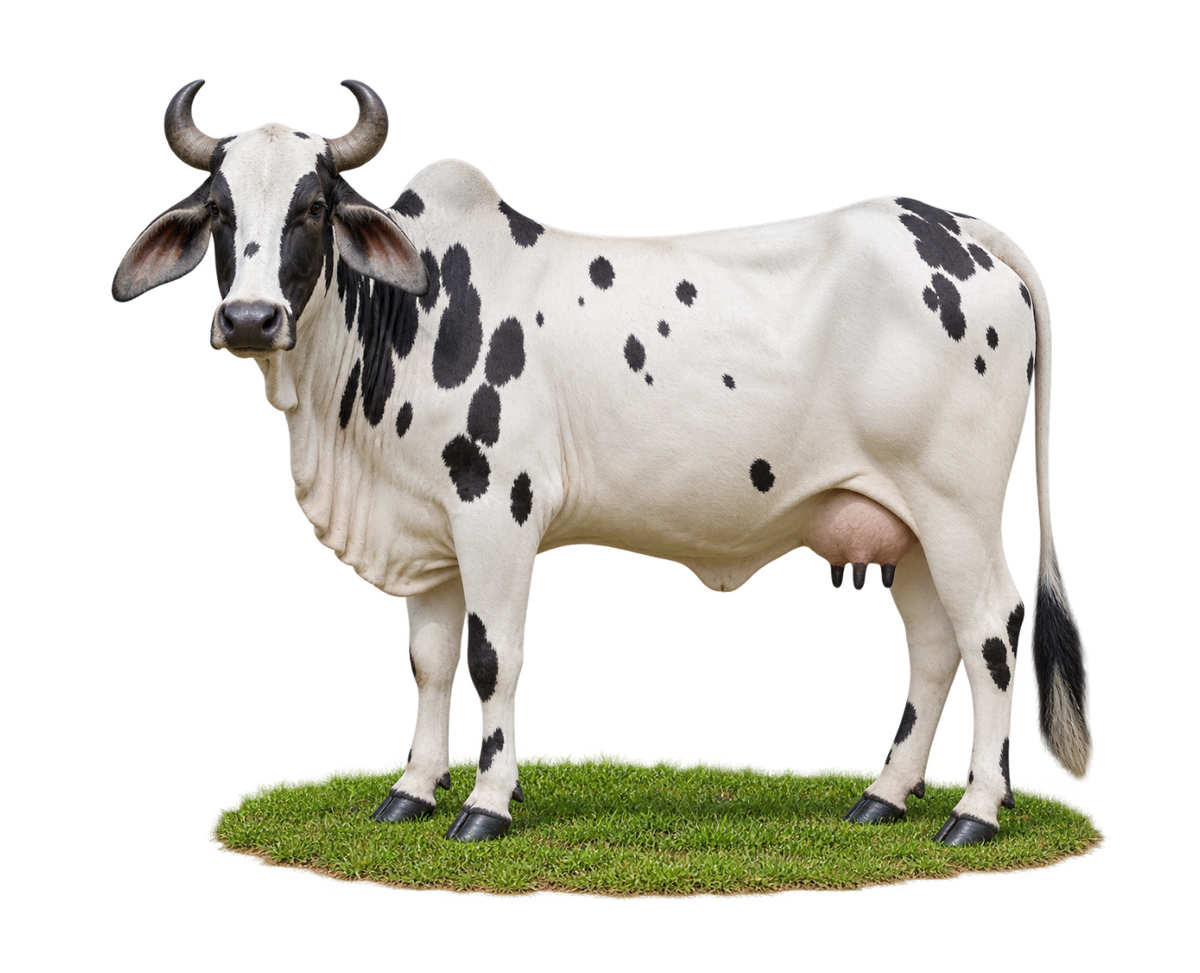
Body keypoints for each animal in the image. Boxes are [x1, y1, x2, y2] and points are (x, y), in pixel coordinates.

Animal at [111, 77, 1094, 847]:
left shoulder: (496, 508)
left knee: (990, 633)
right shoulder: (426, 528)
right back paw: (883, 794)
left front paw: (487, 803)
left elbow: (491, 656)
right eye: (219, 211)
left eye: (313, 206)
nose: (249, 318)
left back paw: (975, 810)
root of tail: (953, 223)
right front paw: (412, 789)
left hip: (959, 506)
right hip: (908, 521)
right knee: (931, 646)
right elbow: (428, 659)